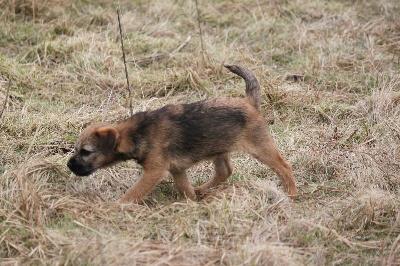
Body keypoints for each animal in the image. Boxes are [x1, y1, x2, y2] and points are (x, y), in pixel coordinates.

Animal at [67, 66, 296, 204]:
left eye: (86, 152)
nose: (69, 165)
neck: (137, 133)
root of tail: (249, 102)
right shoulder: (177, 170)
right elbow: (185, 188)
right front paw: (192, 202)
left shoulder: (154, 172)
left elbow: (134, 192)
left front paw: (117, 206)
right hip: (219, 148)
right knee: (224, 171)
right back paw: (202, 190)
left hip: (261, 147)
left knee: (284, 167)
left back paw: (291, 193)